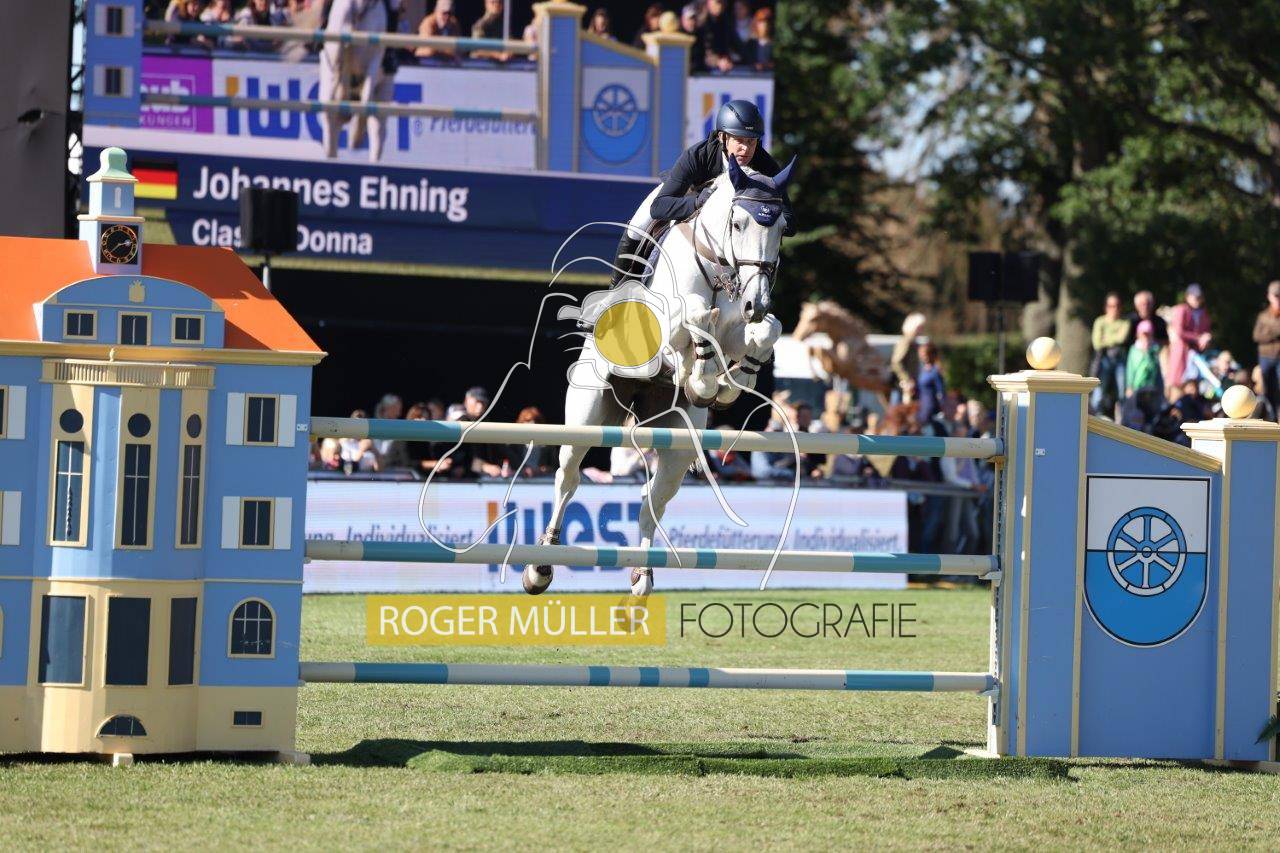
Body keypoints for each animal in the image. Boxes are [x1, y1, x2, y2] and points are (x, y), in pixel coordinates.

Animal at [523, 154, 796, 597]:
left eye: (782, 229)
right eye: (738, 224)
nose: (756, 302)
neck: (716, 270)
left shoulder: (740, 328)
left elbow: (766, 332)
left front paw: (725, 385)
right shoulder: (666, 328)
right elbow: (695, 317)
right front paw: (701, 376)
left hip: (677, 441)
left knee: (653, 500)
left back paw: (642, 576)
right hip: (587, 416)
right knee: (567, 479)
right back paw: (539, 567)